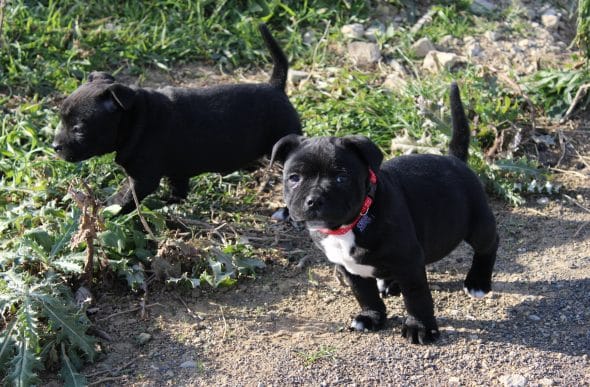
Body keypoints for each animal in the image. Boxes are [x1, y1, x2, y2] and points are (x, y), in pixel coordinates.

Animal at [53, 23, 302, 214]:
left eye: (78, 129)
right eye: (61, 121)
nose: (55, 146)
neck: (136, 118)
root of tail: (276, 86)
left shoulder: (142, 178)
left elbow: (124, 196)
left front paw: (106, 210)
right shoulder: (177, 169)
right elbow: (178, 188)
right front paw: (170, 203)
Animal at [272, 84, 500, 346]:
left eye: (341, 178)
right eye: (294, 178)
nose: (314, 199)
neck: (352, 223)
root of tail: (453, 159)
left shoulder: (409, 263)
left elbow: (417, 297)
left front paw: (420, 327)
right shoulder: (349, 268)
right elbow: (365, 294)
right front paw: (371, 317)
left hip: (477, 224)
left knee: (488, 245)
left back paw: (478, 281)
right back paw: (389, 284)